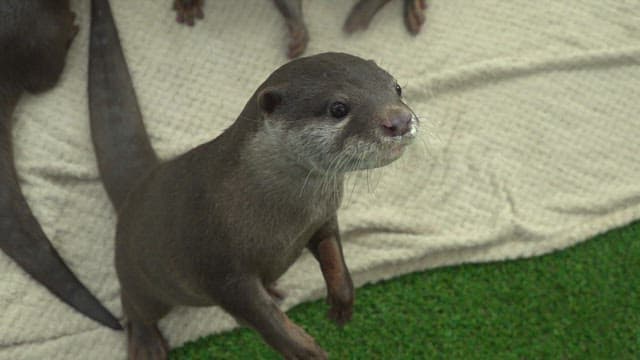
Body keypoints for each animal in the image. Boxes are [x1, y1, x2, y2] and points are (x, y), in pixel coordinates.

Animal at [90, 0, 420, 358]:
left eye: (397, 88)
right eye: (338, 108)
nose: (400, 119)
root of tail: (141, 185)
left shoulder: (323, 217)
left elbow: (333, 252)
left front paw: (342, 303)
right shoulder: (223, 273)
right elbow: (269, 324)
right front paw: (308, 350)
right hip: (146, 280)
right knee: (132, 304)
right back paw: (146, 342)